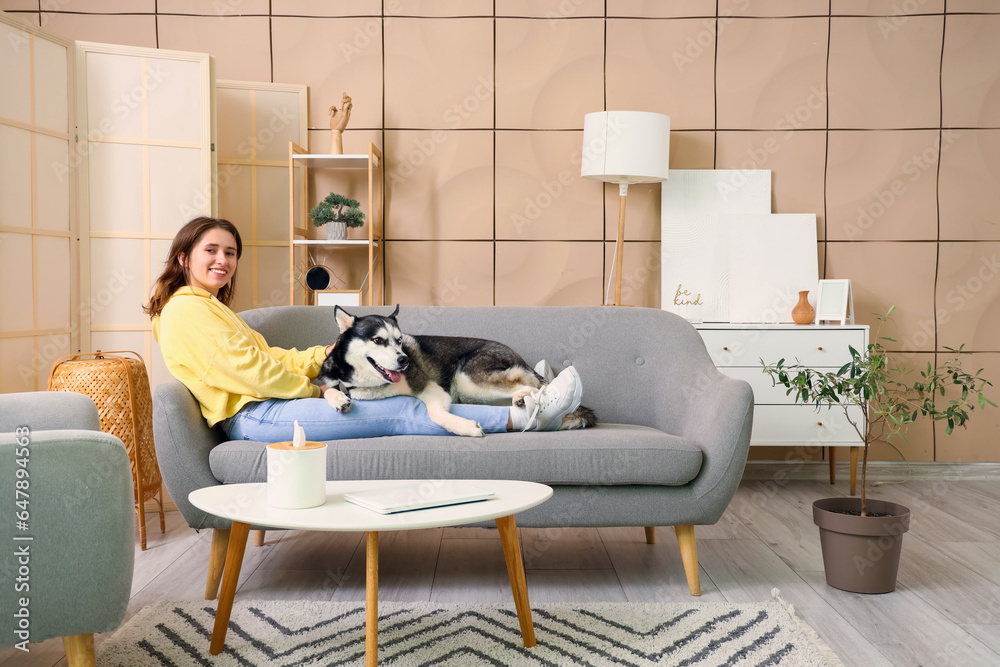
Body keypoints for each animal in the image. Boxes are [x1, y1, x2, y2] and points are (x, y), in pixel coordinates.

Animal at [314, 306, 592, 438]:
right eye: (378, 340)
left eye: (399, 340)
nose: (404, 360)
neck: (370, 384)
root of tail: (519, 357)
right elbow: (327, 389)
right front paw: (338, 399)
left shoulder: (433, 389)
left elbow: (436, 414)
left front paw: (465, 427)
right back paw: (521, 400)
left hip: (467, 379)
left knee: (537, 387)